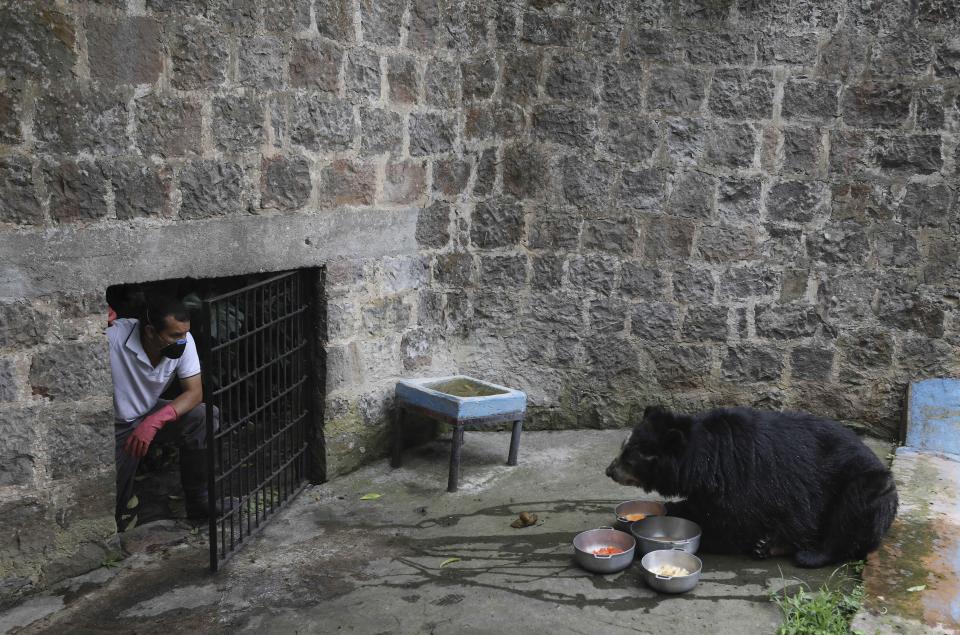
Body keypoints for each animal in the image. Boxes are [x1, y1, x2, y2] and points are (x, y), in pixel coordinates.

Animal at [608, 404, 900, 568]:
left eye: (630, 458)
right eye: (622, 448)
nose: (609, 471)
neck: (707, 460)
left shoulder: (743, 481)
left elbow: (730, 522)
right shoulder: (711, 486)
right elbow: (700, 505)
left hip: (866, 485)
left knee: (849, 515)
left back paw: (809, 555)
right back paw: (767, 546)